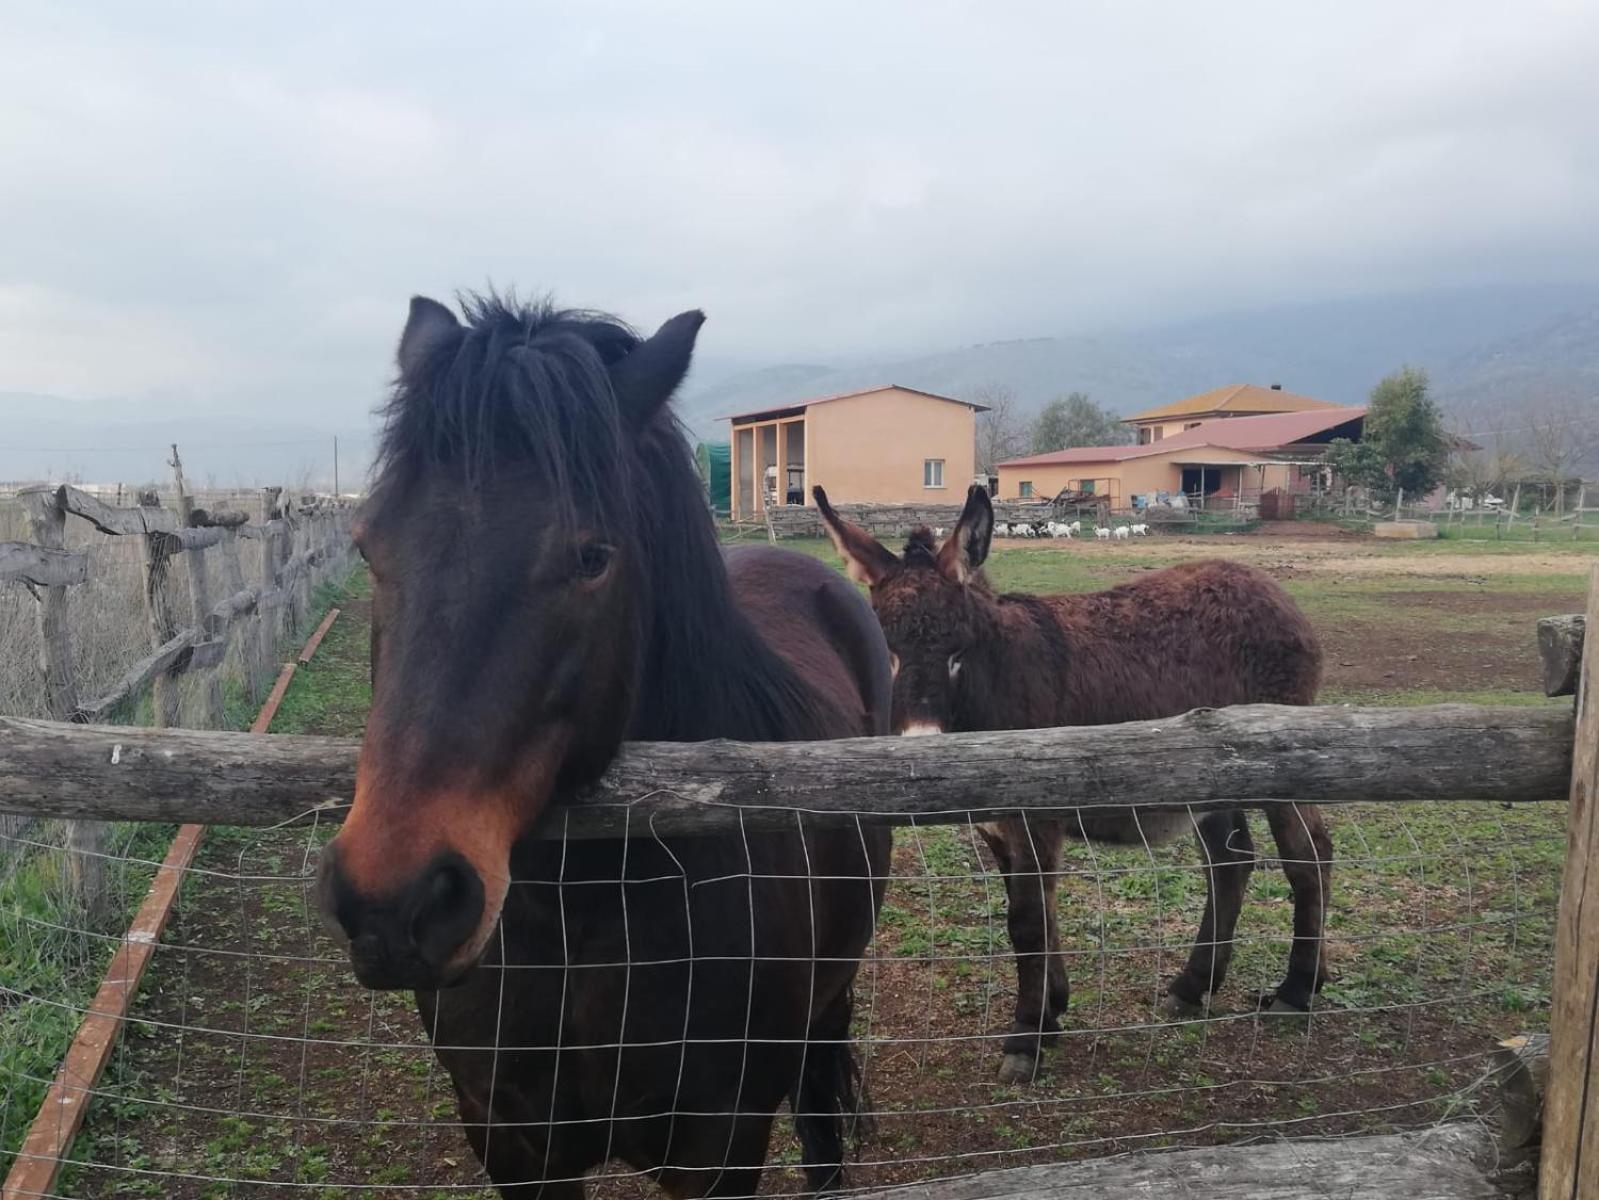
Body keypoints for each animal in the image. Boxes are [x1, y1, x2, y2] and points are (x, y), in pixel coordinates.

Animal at [318, 294, 895, 1200]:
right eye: (368, 543)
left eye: (593, 557)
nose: (394, 901)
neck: (583, 920)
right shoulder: (511, 1142)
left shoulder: (720, 1150)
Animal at [818, 483, 1330, 1088]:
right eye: (886, 651)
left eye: (957, 652)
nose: (924, 749)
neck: (993, 679)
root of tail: (1271, 588)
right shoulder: (1000, 826)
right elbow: (1037, 910)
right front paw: (1052, 1012)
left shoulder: (1035, 813)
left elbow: (1027, 922)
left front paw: (1027, 1037)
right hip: (1212, 770)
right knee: (1231, 862)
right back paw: (1193, 986)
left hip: (1279, 763)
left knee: (1308, 854)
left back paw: (1297, 989)